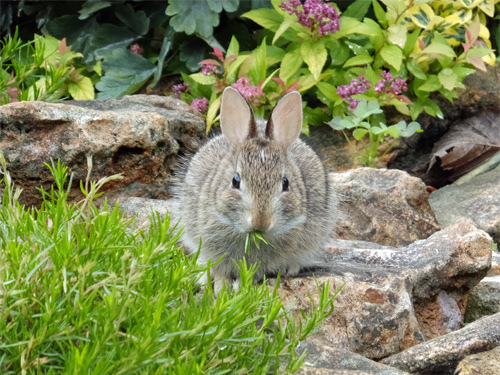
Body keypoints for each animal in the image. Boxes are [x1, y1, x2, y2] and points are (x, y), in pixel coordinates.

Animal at [173, 86, 340, 292]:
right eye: (235, 181)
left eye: (285, 183)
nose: (261, 221)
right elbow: (219, 269)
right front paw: (221, 288)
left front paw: (240, 287)